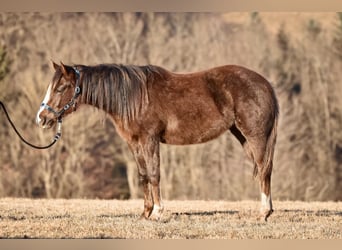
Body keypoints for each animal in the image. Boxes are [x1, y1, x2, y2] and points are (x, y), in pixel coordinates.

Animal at [36, 61, 278, 222]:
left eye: (61, 88)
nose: (42, 118)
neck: (133, 98)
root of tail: (266, 84)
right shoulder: (134, 143)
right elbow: (143, 176)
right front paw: (146, 212)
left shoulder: (150, 140)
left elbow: (154, 174)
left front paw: (160, 212)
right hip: (242, 136)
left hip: (256, 136)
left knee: (264, 170)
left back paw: (263, 213)